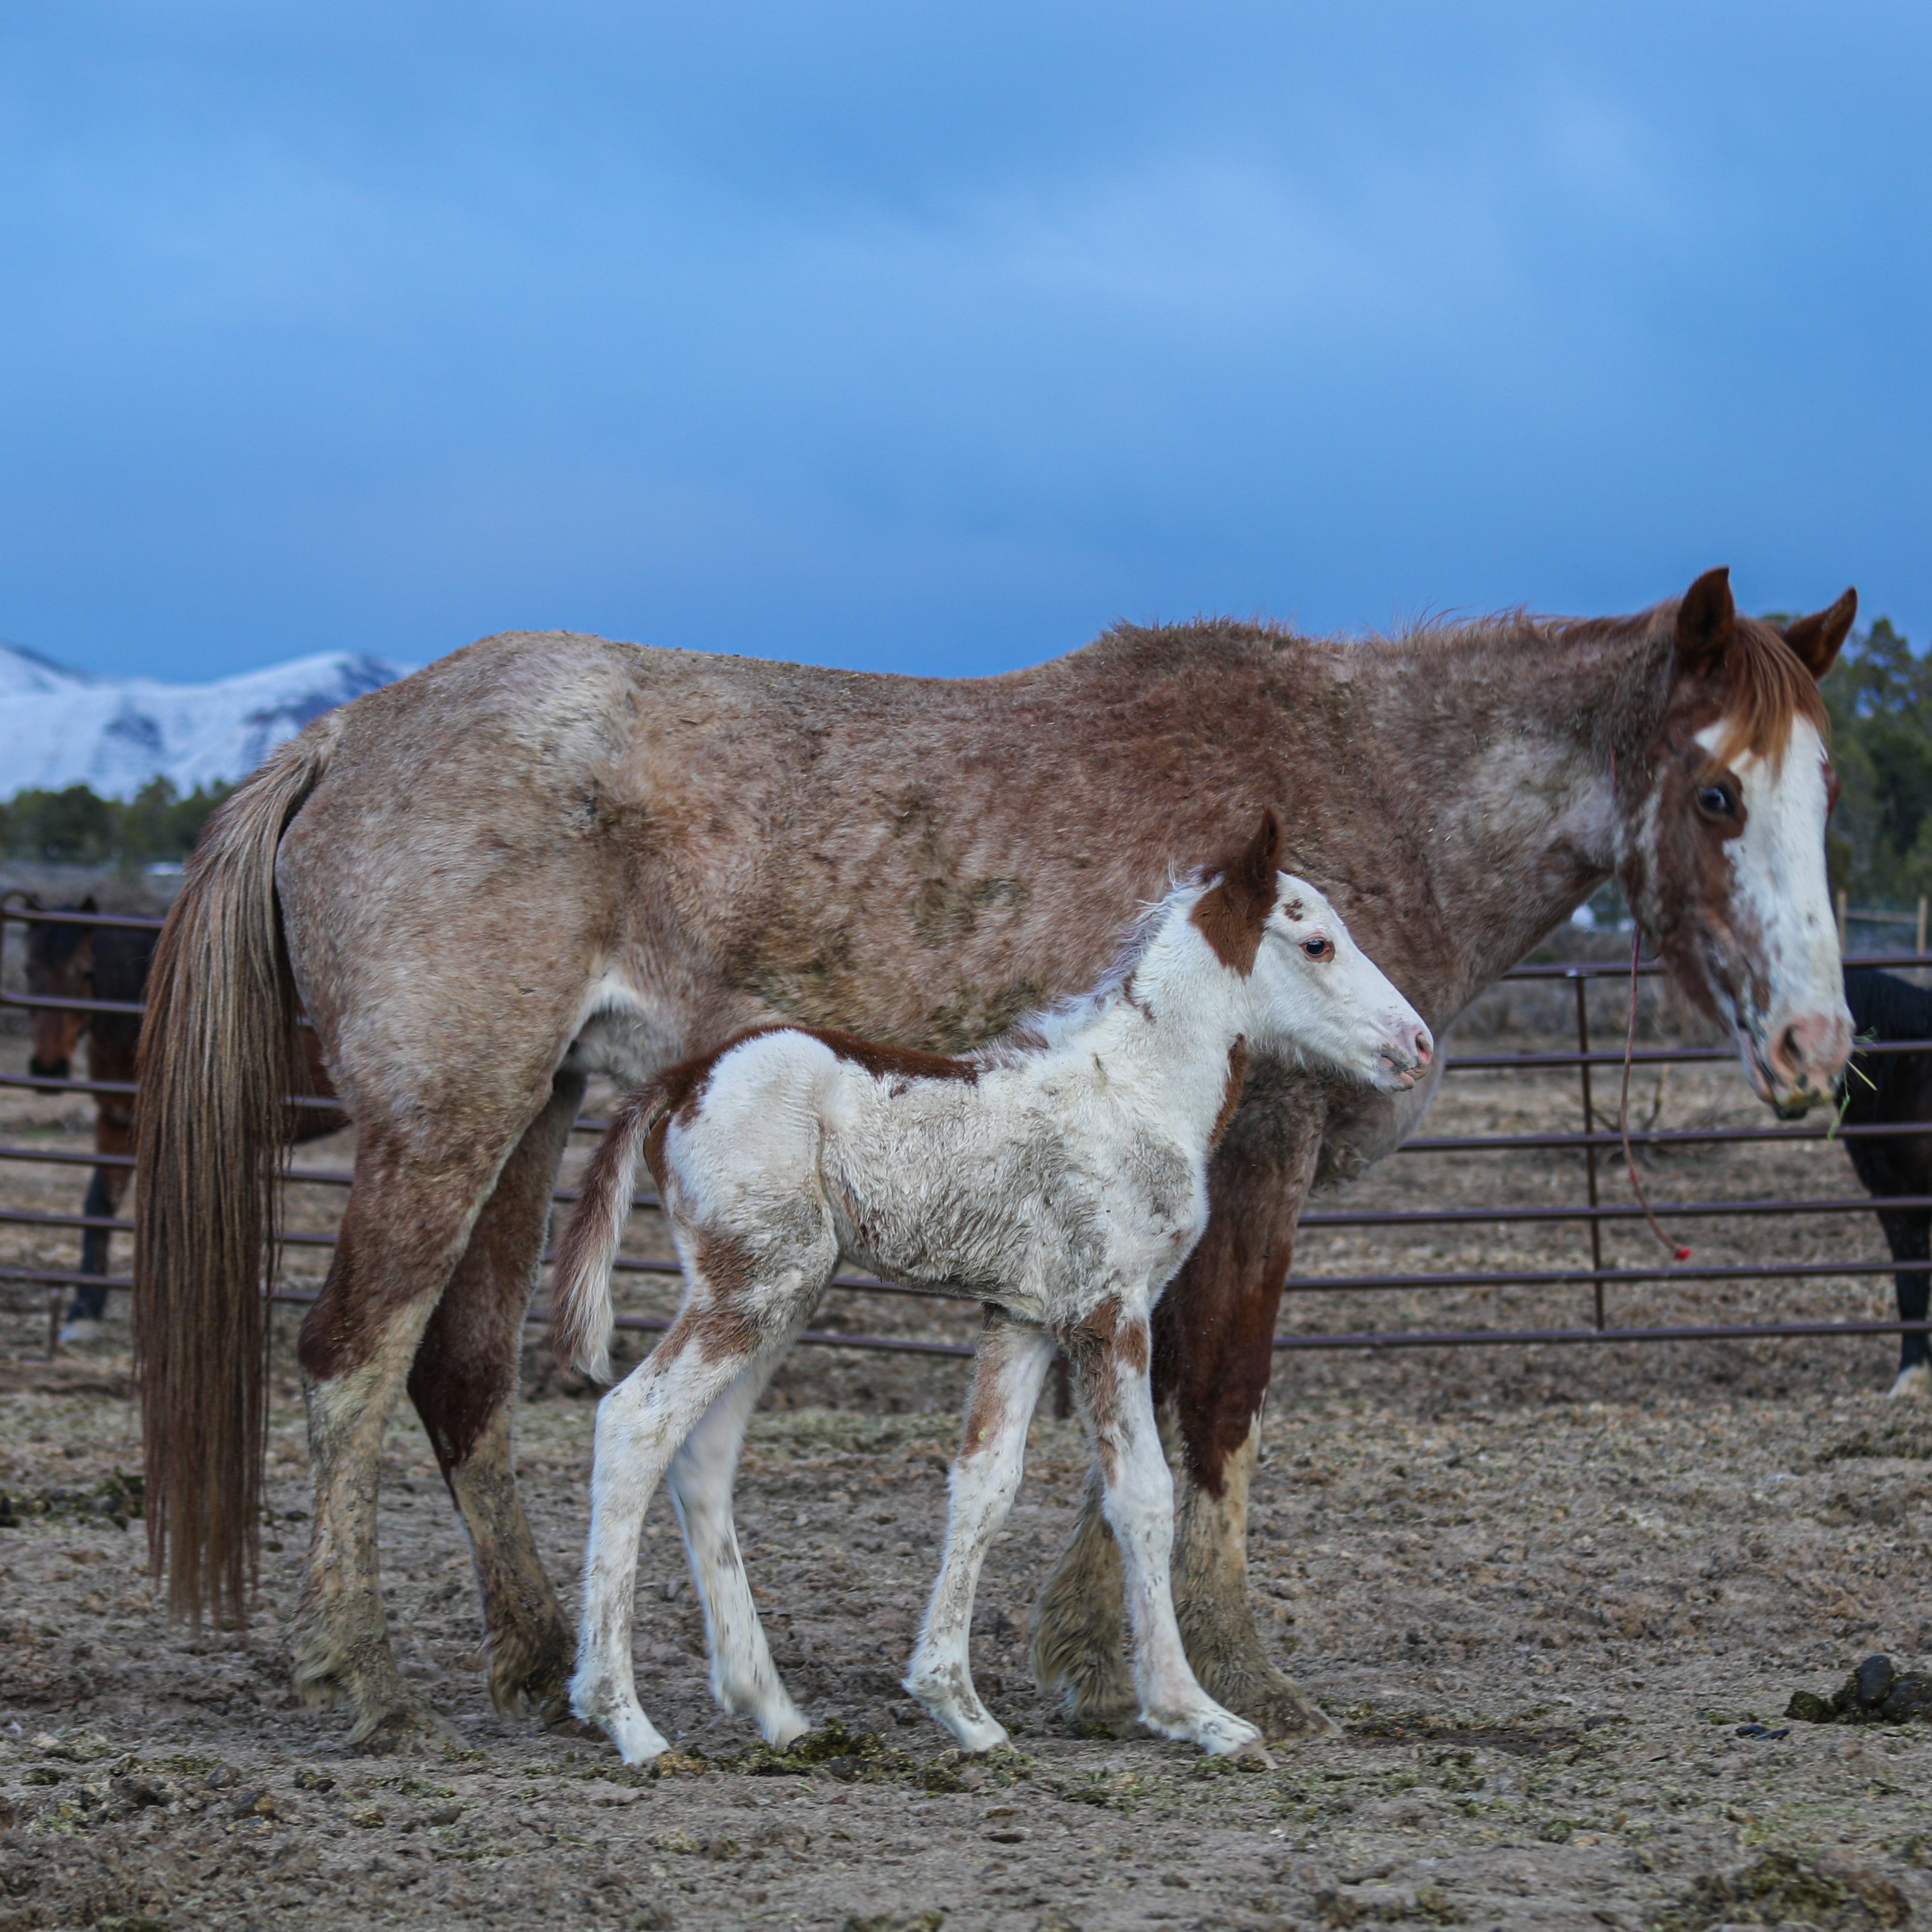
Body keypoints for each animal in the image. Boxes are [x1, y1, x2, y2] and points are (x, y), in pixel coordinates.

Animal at [552, 811, 1429, 1770]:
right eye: (1316, 942)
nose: (1417, 1044)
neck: (1136, 1094)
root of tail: (681, 1081)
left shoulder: (1022, 1317)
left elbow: (986, 1481)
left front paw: (959, 1707)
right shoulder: (1109, 1311)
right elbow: (1141, 1492)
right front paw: (1195, 1713)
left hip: (780, 1297)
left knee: (704, 1454)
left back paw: (772, 1708)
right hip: (747, 1290)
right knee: (634, 1423)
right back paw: (626, 1720)